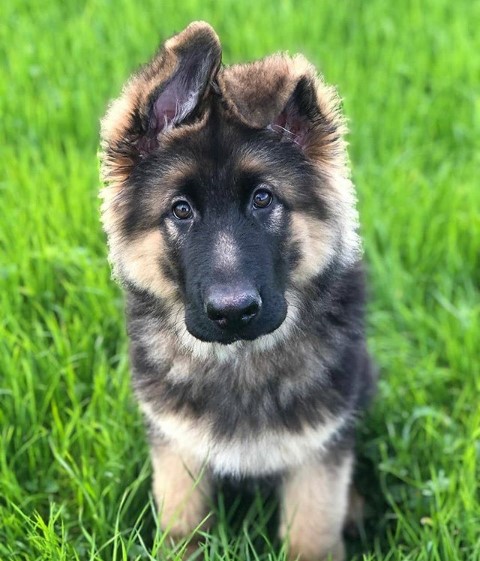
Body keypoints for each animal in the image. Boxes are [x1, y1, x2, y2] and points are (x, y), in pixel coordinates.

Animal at [99, 19, 374, 556]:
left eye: (263, 199)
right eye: (181, 209)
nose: (232, 312)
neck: (241, 362)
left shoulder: (318, 453)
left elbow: (311, 536)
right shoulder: (178, 447)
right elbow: (183, 530)